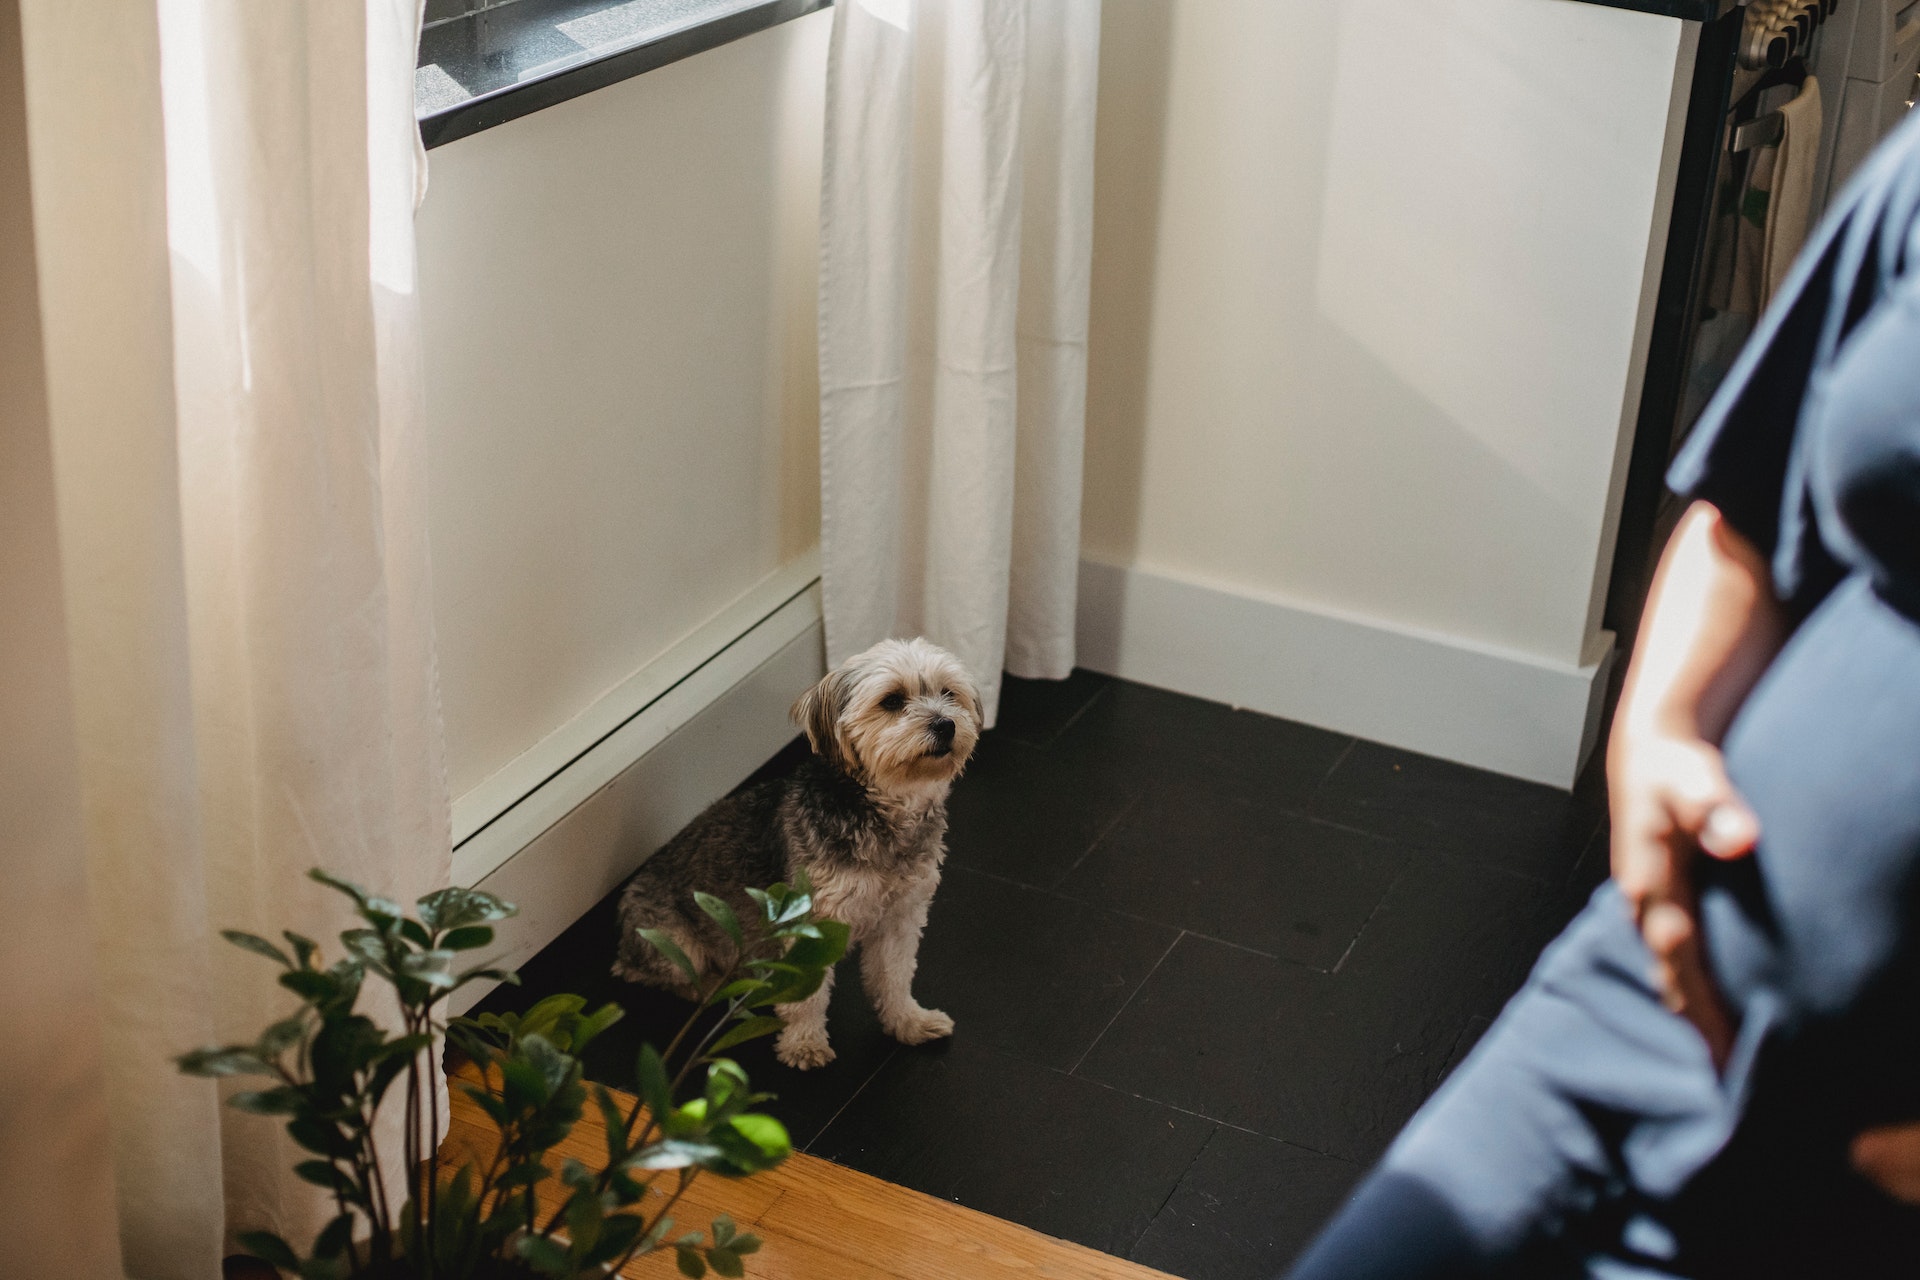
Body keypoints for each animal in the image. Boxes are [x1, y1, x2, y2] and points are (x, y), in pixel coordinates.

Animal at [610, 637, 983, 1074]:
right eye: (892, 700)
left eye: (948, 693)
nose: (945, 724)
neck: (885, 813)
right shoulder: (809, 923)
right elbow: (806, 996)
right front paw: (804, 1044)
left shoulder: (901, 916)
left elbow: (895, 977)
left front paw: (909, 1022)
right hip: (672, 942)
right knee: (652, 972)